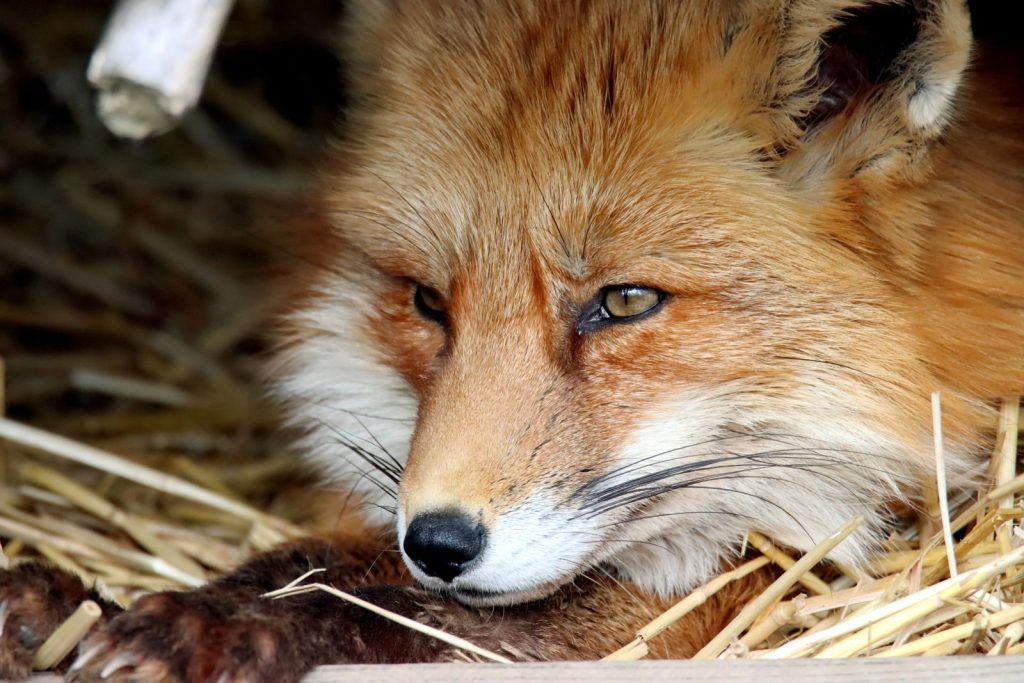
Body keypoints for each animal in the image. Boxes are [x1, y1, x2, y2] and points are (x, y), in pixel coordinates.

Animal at [1, 0, 1022, 680]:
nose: (438, 541)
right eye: (426, 301)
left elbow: (391, 604)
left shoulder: (732, 591)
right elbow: (324, 564)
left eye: (624, 301)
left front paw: (200, 625)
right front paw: (76, 604)